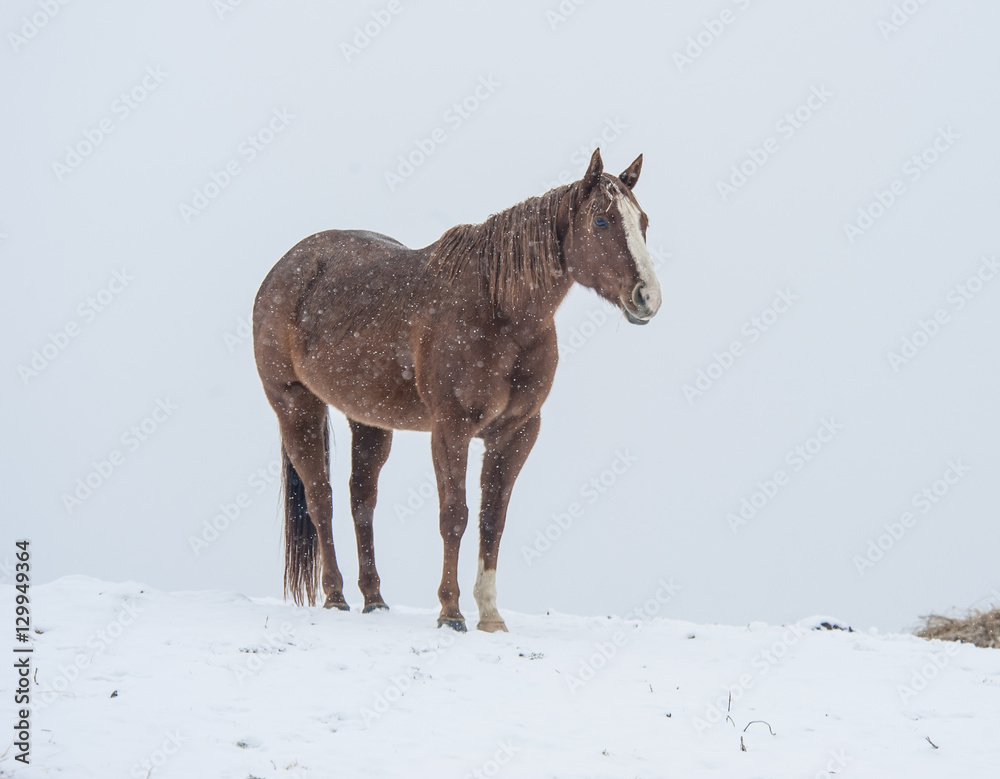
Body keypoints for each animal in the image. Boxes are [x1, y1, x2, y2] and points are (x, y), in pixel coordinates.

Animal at [252, 148, 661, 632]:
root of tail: (285, 268)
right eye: (601, 221)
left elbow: (492, 519)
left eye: (643, 221)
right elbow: (455, 515)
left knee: (361, 499)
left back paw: (374, 598)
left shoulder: (517, 433)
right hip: (296, 406)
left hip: (369, 420)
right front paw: (451, 612)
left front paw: (490, 616)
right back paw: (335, 596)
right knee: (321, 498)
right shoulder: (451, 430)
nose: (648, 297)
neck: (498, 310)